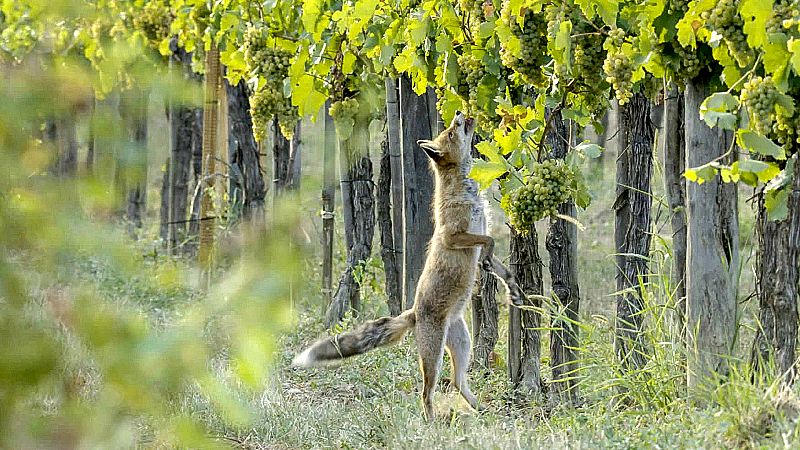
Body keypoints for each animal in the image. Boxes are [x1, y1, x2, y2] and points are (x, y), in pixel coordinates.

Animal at [294, 112, 524, 422]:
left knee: (457, 382)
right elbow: (488, 242)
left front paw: (512, 288)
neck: (465, 193)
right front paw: (491, 265)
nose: (459, 114)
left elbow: (500, 264)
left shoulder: (478, 233)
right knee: (427, 392)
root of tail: (413, 313)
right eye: (451, 133)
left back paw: (480, 409)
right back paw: (432, 422)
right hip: (434, 356)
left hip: (462, 344)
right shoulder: (454, 236)